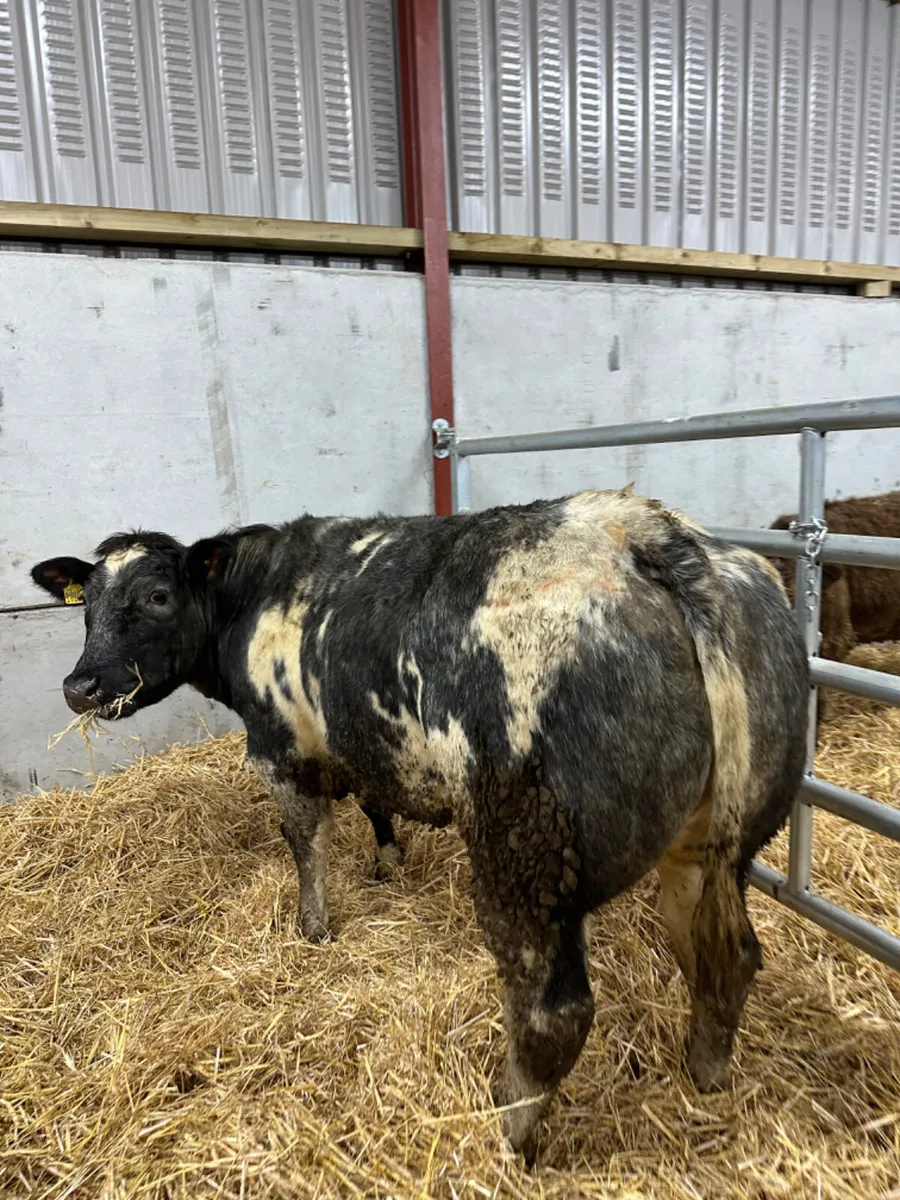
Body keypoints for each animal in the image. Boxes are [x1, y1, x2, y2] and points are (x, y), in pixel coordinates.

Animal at [31, 489, 808, 1162]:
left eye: (157, 597)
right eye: (85, 606)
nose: (79, 686)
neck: (255, 594)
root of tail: (650, 532)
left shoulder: (281, 748)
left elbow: (306, 844)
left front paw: (313, 927)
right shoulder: (361, 741)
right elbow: (376, 805)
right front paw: (388, 861)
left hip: (527, 856)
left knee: (553, 1013)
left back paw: (504, 1127)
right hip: (711, 843)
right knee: (724, 954)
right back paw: (706, 1074)